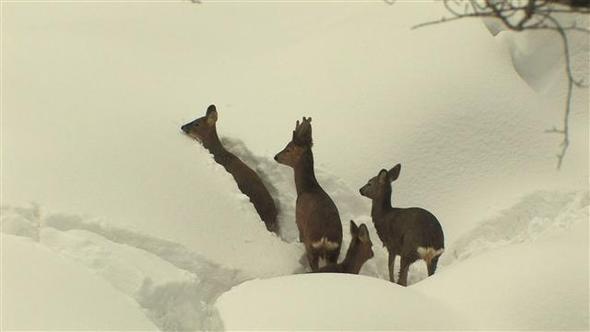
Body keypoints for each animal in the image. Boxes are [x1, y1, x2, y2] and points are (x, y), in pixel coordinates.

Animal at [276, 118, 344, 272]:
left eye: (288, 148)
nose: (275, 156)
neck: (307, 189)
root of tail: (325, 238)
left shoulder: (299, 221)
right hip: (334, 252)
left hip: (311, 246)